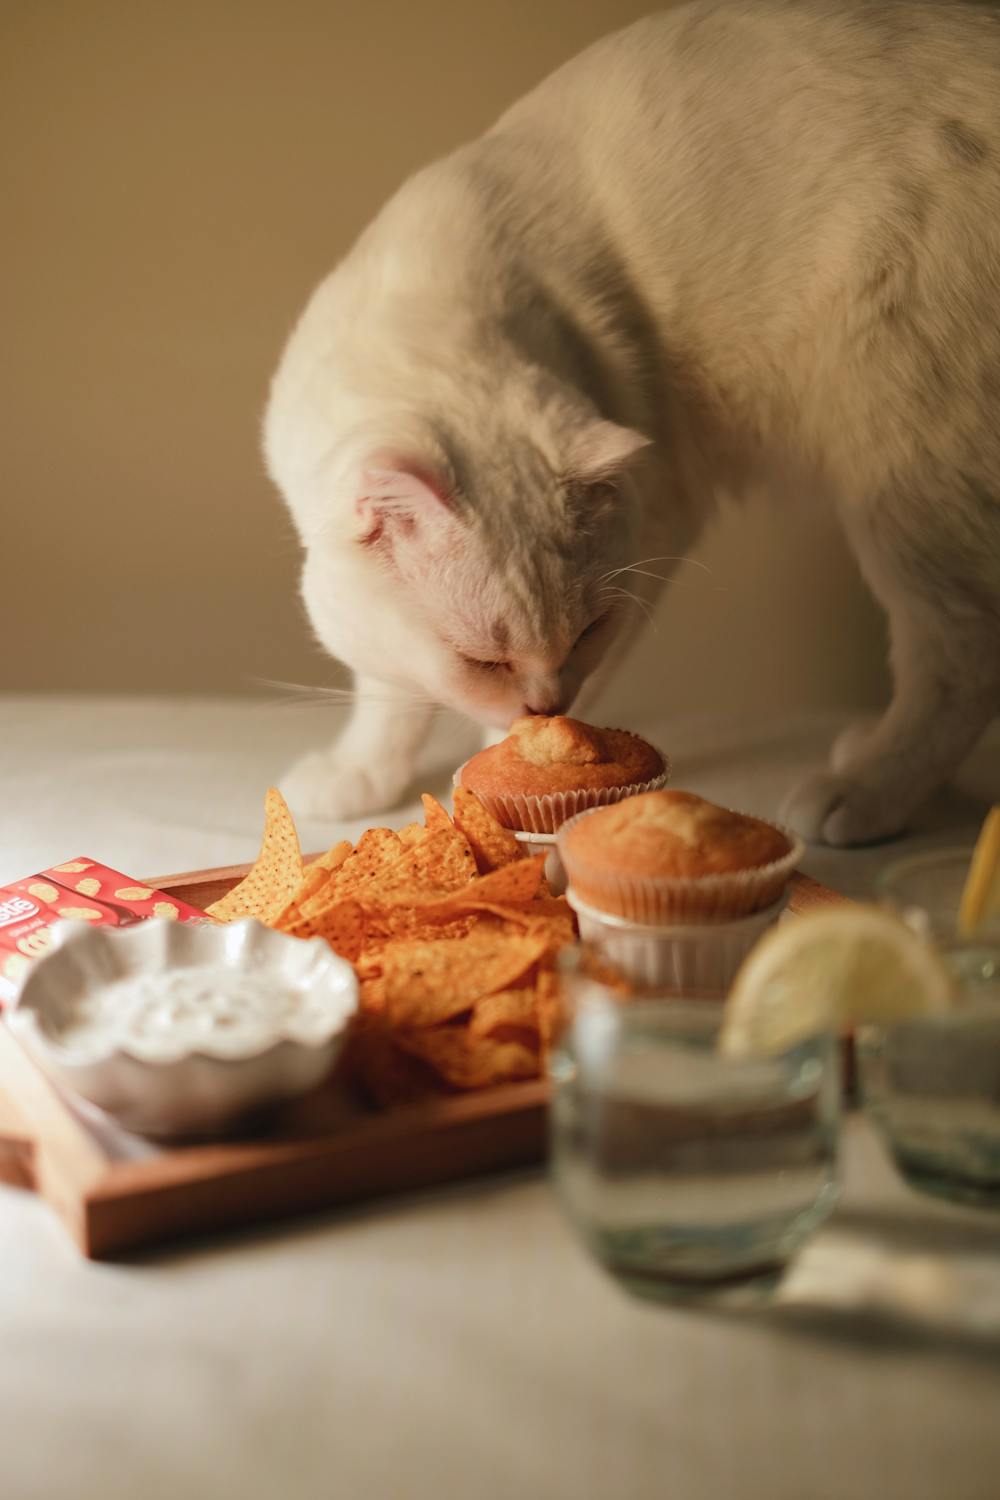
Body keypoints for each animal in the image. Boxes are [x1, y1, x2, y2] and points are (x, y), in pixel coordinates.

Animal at [263, 0, 1000, 846]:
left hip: (905, 467)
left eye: (588, 633)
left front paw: (508, 773)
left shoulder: (663, 524)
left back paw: (862, 793)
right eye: (483, 660)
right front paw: (359, 778)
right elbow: (387, 690)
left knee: (961, 656)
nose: (545, 707)